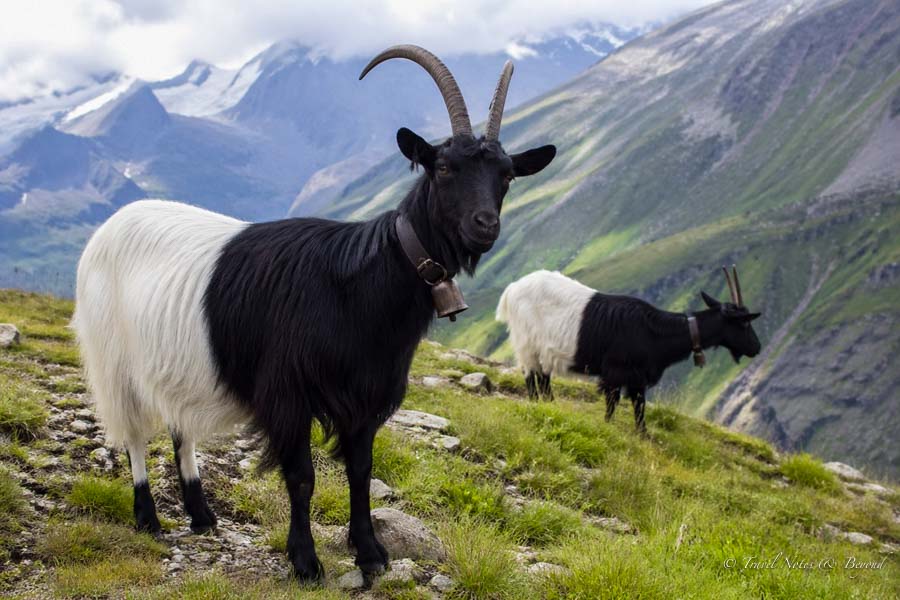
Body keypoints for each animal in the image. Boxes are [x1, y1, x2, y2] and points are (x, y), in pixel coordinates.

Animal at [73, 45, 556, 582]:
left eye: (507, 174)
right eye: (445, 167)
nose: (485, 225)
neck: (354, 287)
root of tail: (112, 224)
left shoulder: (366, 397)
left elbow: (361, 471)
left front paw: (370, 553)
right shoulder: (288, 392)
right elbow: (302, 477)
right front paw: (305, 561)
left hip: (176, 361)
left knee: (181, 427)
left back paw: (200, 515)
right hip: (114, 359)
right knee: (134, 434)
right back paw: (148, 519)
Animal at [496, 268, 761, 432]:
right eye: (744, 322)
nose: (757, 348)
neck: (654, 331)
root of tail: (511, 290)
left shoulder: (637, 378)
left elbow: (639, 406)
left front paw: (643, 434)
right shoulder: (617, 372)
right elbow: (614, 404)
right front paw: (609, 426)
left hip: (542, 349)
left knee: (543, 376)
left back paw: (551, 405)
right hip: (526, 341)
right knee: (530, 376)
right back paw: (537, 405)